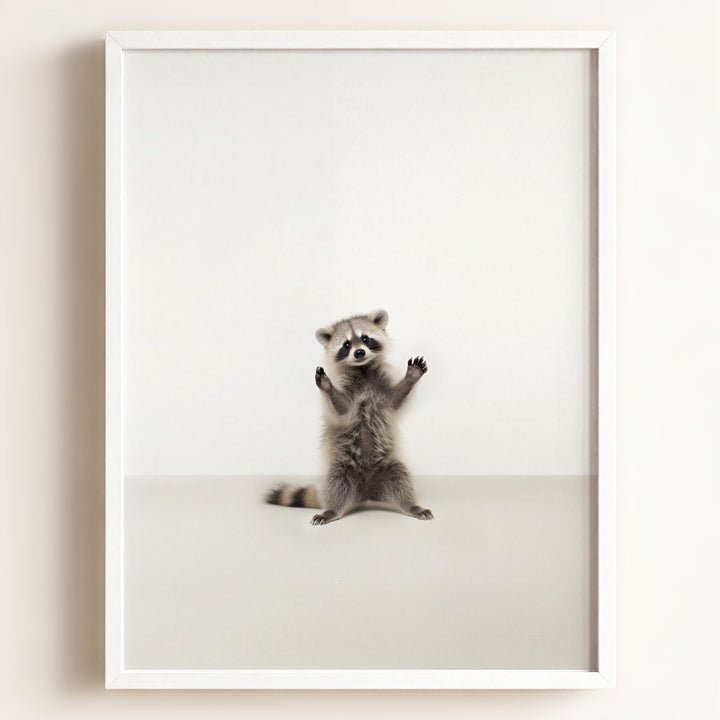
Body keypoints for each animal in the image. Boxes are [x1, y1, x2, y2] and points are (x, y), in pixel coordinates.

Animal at [265, 309, 433, 525]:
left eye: (365, 338)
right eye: (346, 344)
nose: (359, 352)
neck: (363, 370)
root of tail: (367, 493)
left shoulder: (382, 388)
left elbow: (395, 400)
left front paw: (410, 377)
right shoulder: (347, 391)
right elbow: (342, 410)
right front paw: (327, 387)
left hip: (389, 465)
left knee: (402, 478)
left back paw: (411, 506)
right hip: (341, 467)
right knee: (336, 484)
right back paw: (332, 510)